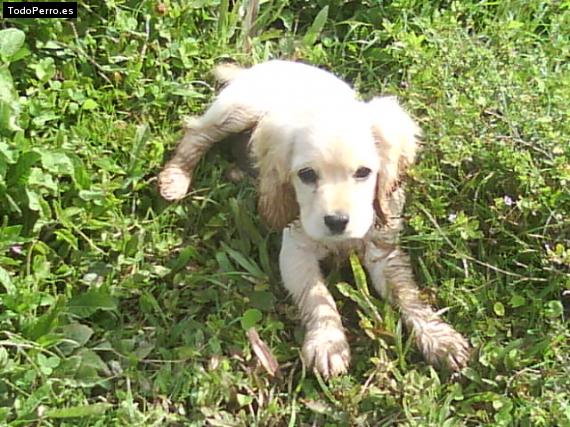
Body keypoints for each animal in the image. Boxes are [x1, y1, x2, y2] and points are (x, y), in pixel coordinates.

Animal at [158, 60, 468, 378]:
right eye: (306, 175)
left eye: (364, 172)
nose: (337, 221)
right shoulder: (295, 252)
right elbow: (318, 295)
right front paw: (328, 344)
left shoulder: (383, 249)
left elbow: (406, 292)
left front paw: (438, 337)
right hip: (238, 110)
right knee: (197, 133)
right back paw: (175, 179)